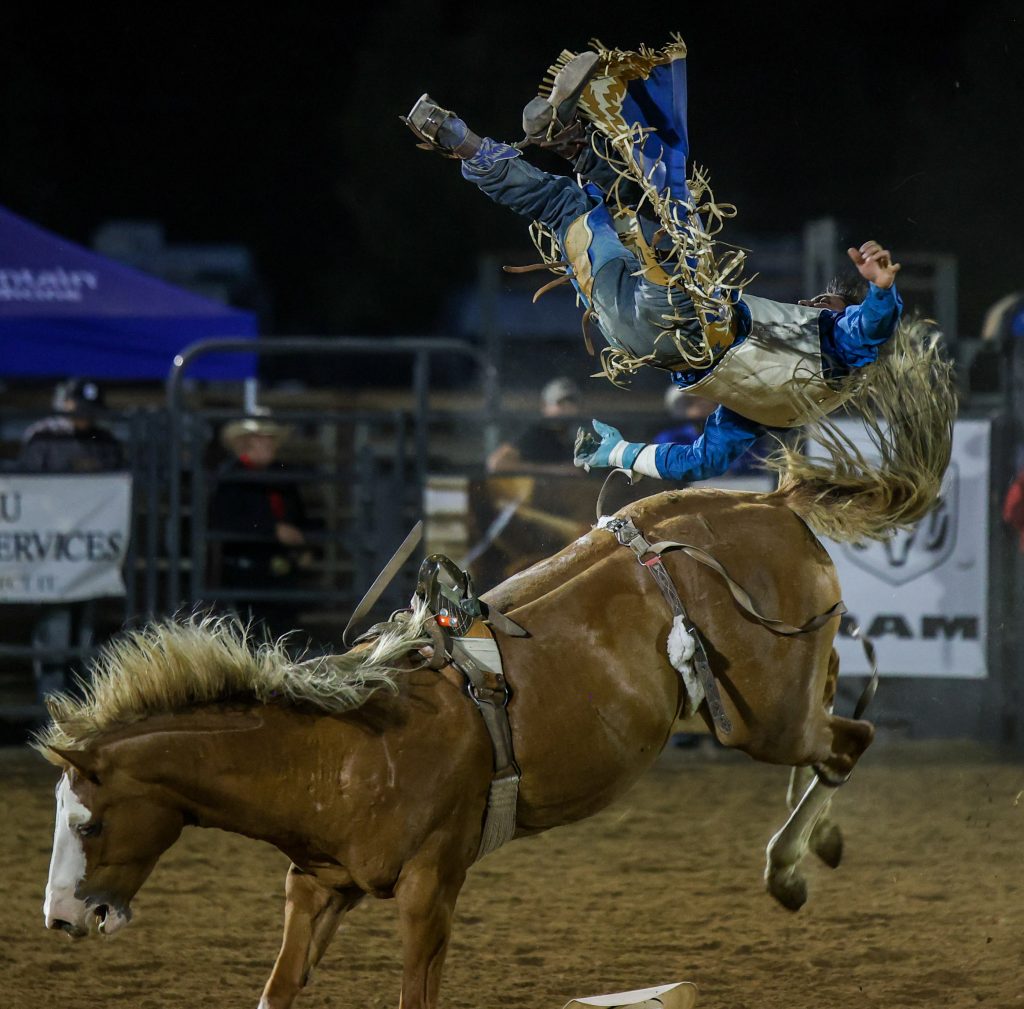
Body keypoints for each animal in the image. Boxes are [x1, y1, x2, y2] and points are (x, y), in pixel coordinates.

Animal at [37, 327, 950, 1003]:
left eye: (90, 821)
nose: (61, 919)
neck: (338, 748)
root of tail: (772, 503)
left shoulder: (429, 887)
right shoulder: (314, 885)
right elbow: (278, 990)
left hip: (764, 714)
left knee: (849, 739)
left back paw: (789, 868)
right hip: (767, 697)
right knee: (833, 724)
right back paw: (818, 840)